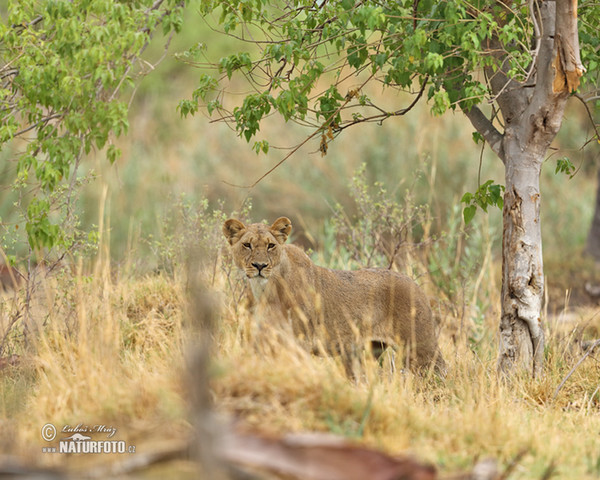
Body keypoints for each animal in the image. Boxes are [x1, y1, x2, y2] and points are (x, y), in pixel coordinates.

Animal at [221, 216, 446, 376]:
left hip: (420, 346)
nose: (260, 266)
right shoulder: (262, 342)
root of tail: (415, 284)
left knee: (439, 372)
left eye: (270, 245)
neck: (265, 291)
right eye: (247, 245)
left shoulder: (300, 342)